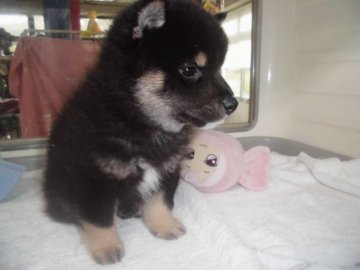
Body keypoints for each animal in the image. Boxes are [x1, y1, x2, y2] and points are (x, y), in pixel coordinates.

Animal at [43, 0, 238, 266]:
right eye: (189, 69)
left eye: (219, 69)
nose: (233, 104)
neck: (139, 121)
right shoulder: (93, 176)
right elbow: (98, 219)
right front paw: (106, 248)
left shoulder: (166, 168)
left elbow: (160, 202)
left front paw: (165, 226)